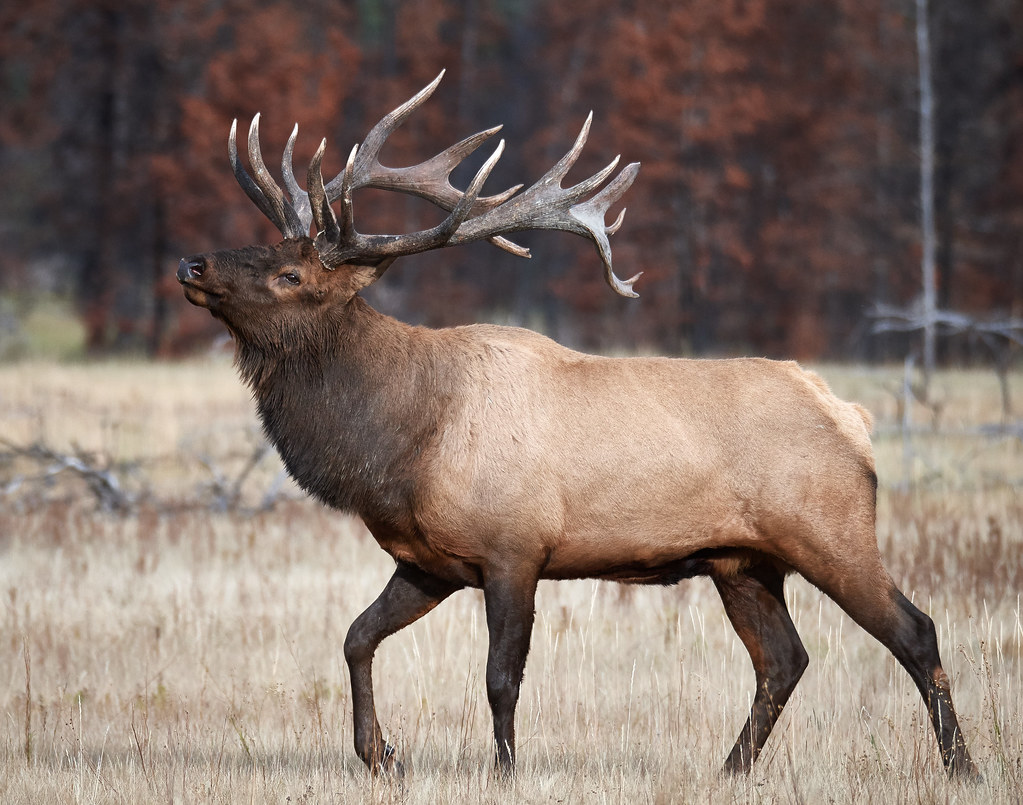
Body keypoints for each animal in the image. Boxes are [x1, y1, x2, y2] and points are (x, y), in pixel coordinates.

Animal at [177, 72, 977, 780]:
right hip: (742, 560)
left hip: (829, 528)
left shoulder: (515, 547)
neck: (401, 445)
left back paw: (960, 767)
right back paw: (729, 770)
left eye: (293, 275)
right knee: (784, 659)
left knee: (915, 630)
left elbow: (500, 677)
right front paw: (381, 755)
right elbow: (354, 638)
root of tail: (850, 416)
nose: (192, 262)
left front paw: (504, 772)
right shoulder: (427, 561)